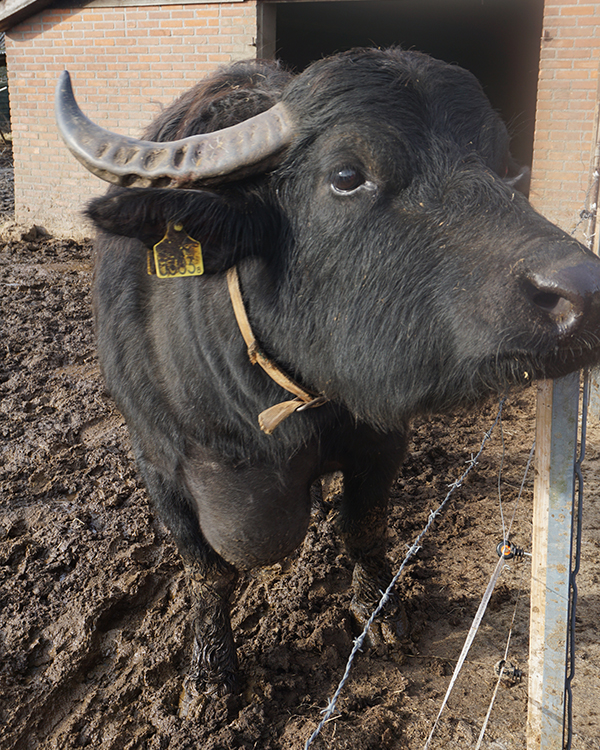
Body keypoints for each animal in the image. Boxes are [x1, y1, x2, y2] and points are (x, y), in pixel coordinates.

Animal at [56, 48, 600, 700]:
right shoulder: (158, 461)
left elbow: (364, 527)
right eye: (345, 175)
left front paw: (382, 612)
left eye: (500, 163)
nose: (583, 291)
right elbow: (207, 570)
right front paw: (210, 676)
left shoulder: (380, 440)